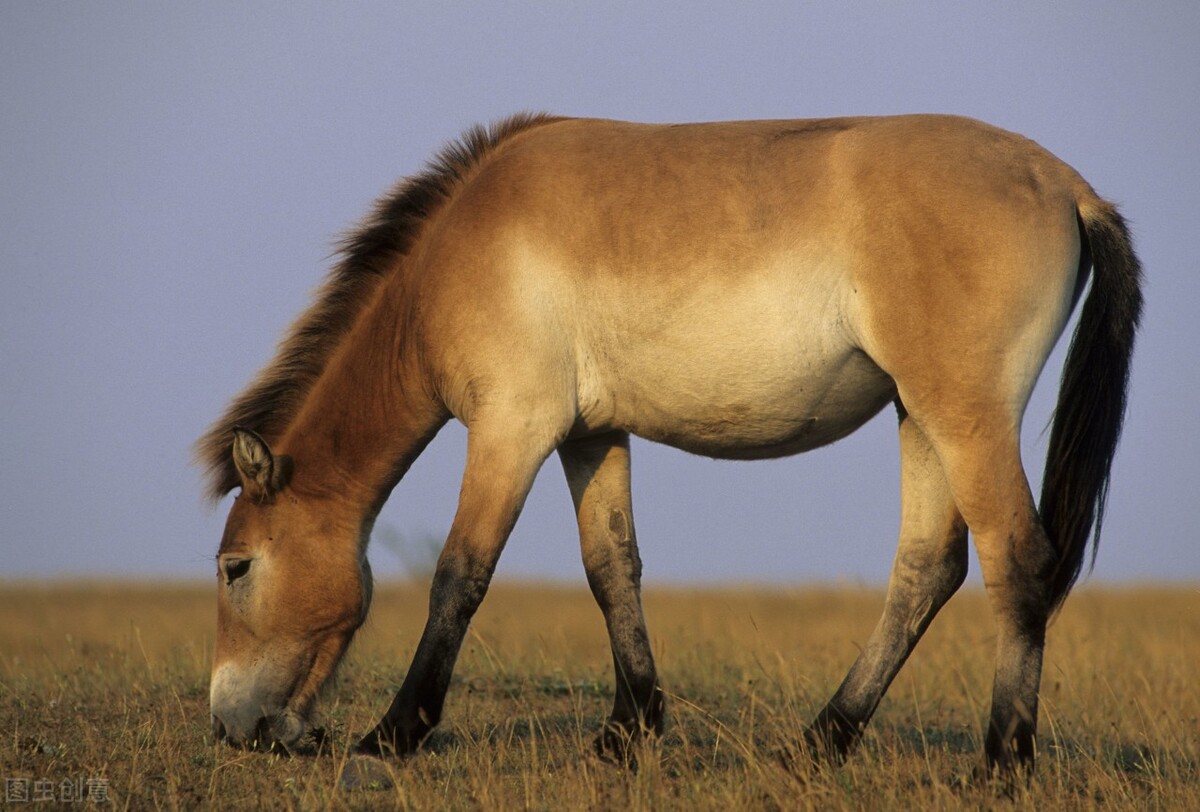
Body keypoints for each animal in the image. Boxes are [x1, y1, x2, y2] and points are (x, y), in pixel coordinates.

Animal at [196, 112, 1142, 772]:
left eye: (236, 569)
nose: (232, 727)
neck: (455, 258)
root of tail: (1065, 185)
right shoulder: (591, 435)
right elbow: (611, 568)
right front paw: (628, 729)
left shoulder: (510, 429)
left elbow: (459, 575)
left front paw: (393, 734)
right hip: (923, 417)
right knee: (926, 571)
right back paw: (820, 741)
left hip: (965, 419)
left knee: (1015, 560)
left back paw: (1002, 761)